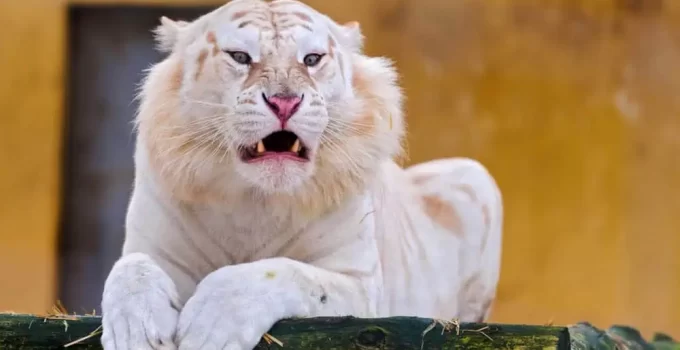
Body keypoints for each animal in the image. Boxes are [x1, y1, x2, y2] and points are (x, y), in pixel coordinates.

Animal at [101, 0, 504, 348]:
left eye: (311, 59)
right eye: (240, 56)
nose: (285, 102)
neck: (254, 201)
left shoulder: (360, 285)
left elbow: (285, 272)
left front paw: (210, 326)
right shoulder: (153, 248)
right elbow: (129, 270)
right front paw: (135, 332)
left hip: (475, 177)